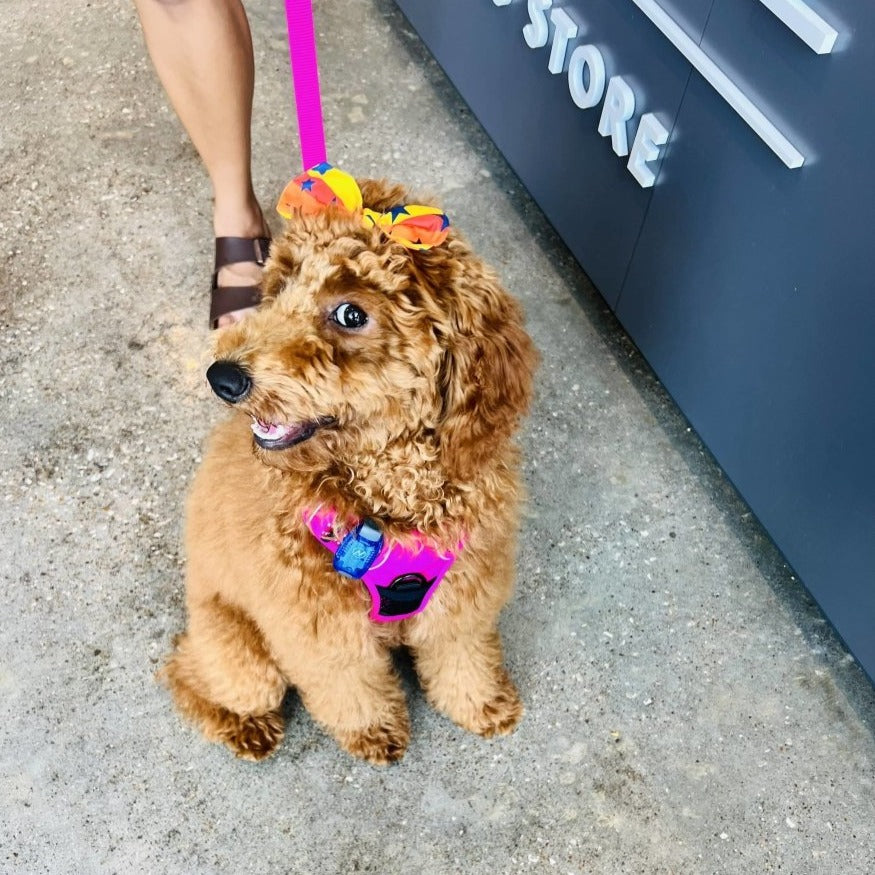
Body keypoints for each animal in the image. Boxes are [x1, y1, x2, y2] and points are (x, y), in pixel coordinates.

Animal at [161, 178, 536, 768]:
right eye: (280, 285)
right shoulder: (320, 631)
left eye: (351, 315)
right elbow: (350, 687)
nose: (221, 377)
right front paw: (374, 731)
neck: (388, 499)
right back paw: (245, 727)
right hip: (243, 659)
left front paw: (480, 704)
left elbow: (461, 657)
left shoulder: (463, 597)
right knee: (186, 672)